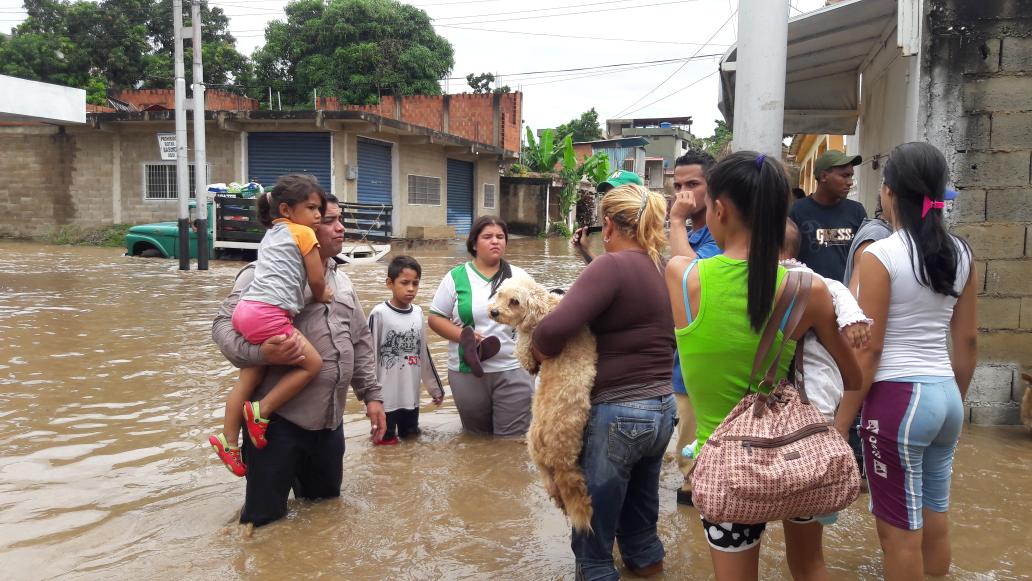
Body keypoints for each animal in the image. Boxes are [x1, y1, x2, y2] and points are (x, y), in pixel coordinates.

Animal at [489, 274, 598, 532]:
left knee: (555, 486)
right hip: (562, 460)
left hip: (543, 462)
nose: (494, 311)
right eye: (500, 294)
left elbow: (522, 347)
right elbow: (523, 349)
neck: (545, 308)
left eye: (514, 301)